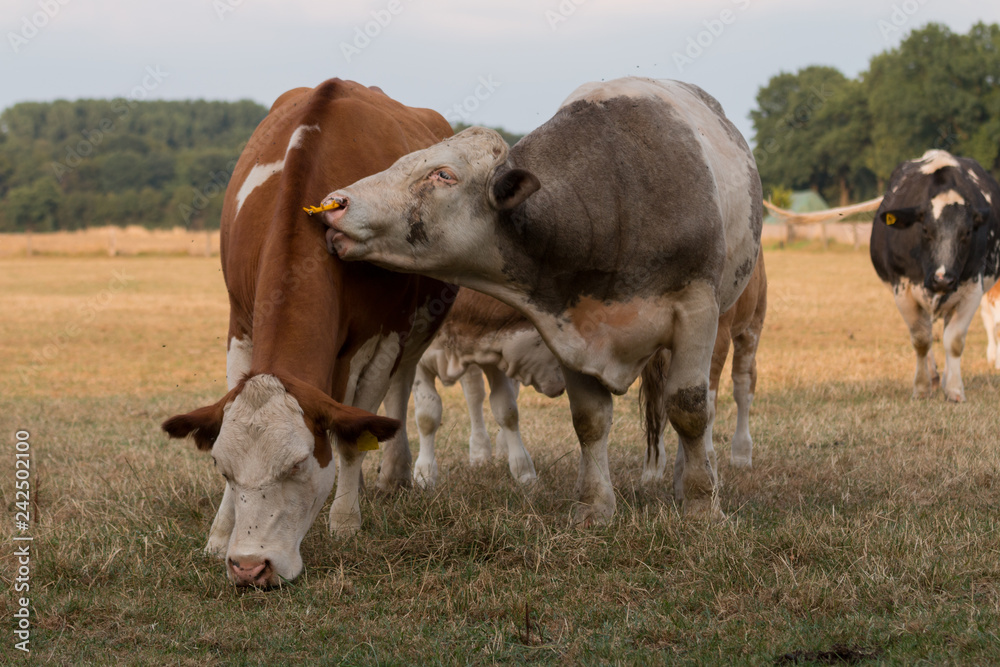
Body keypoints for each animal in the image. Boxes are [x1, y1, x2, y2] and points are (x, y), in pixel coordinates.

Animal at [160, 79, 455, 587]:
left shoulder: (380, 337)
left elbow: (353, 436)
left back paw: (394, 473)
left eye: (297, 464)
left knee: (401, 386)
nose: (249, 567)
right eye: (221, 467)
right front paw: (219, 534)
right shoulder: (241, 324)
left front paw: (345, 523)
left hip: (418, 329)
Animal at [412, 288, 565, 488]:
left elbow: (506, 411)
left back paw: (501, 449)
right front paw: (424, 475)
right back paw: (479, 453)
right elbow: (427, 417)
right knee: (474, 394)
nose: (563, 386)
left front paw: (524, 472)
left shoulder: (496, 357)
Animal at [642, 250, 767, 486]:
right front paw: (653, 469)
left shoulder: (717, 339)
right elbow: (657, 406)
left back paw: (741, 455)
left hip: (751, 326)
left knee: (743, 384)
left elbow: (706, 404)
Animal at [870, 149, 1000, 402]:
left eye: (967, 232)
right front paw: (921, 388)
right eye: (924, 229)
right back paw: (932, 376)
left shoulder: (972, 288)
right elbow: (921, 340)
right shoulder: (903, 290)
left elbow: (955, 341)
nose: (943, 279)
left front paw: (954, 389)